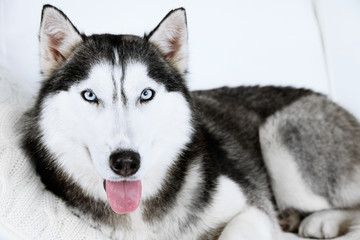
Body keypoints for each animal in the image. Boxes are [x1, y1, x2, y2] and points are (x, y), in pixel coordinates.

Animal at [20, 4, 360, 240]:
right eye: (90, 95)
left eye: (146, 94)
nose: (126, 162)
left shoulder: (254, 207)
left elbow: (235, 230)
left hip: (282, 139)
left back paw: (322, 220)